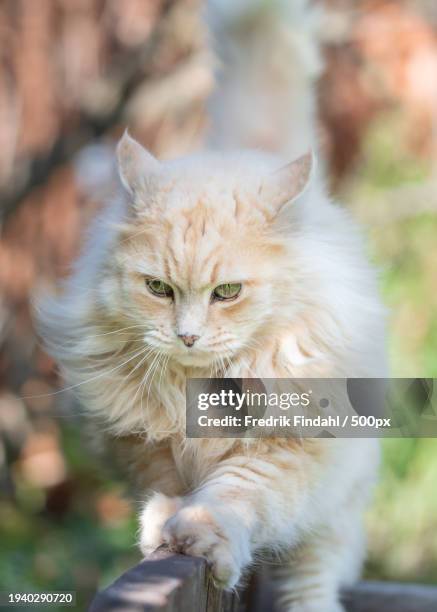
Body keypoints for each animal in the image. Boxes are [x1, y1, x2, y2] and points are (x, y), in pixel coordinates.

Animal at [37, 1, 384, 612]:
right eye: (158, 288)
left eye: (227, 293)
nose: (188, 336)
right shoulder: (138, 440)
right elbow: (173, 482)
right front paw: (166, 522)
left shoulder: (291, 450)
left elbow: (236, 494)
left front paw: (203, 536)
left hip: (337, 509)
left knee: (313, 574)